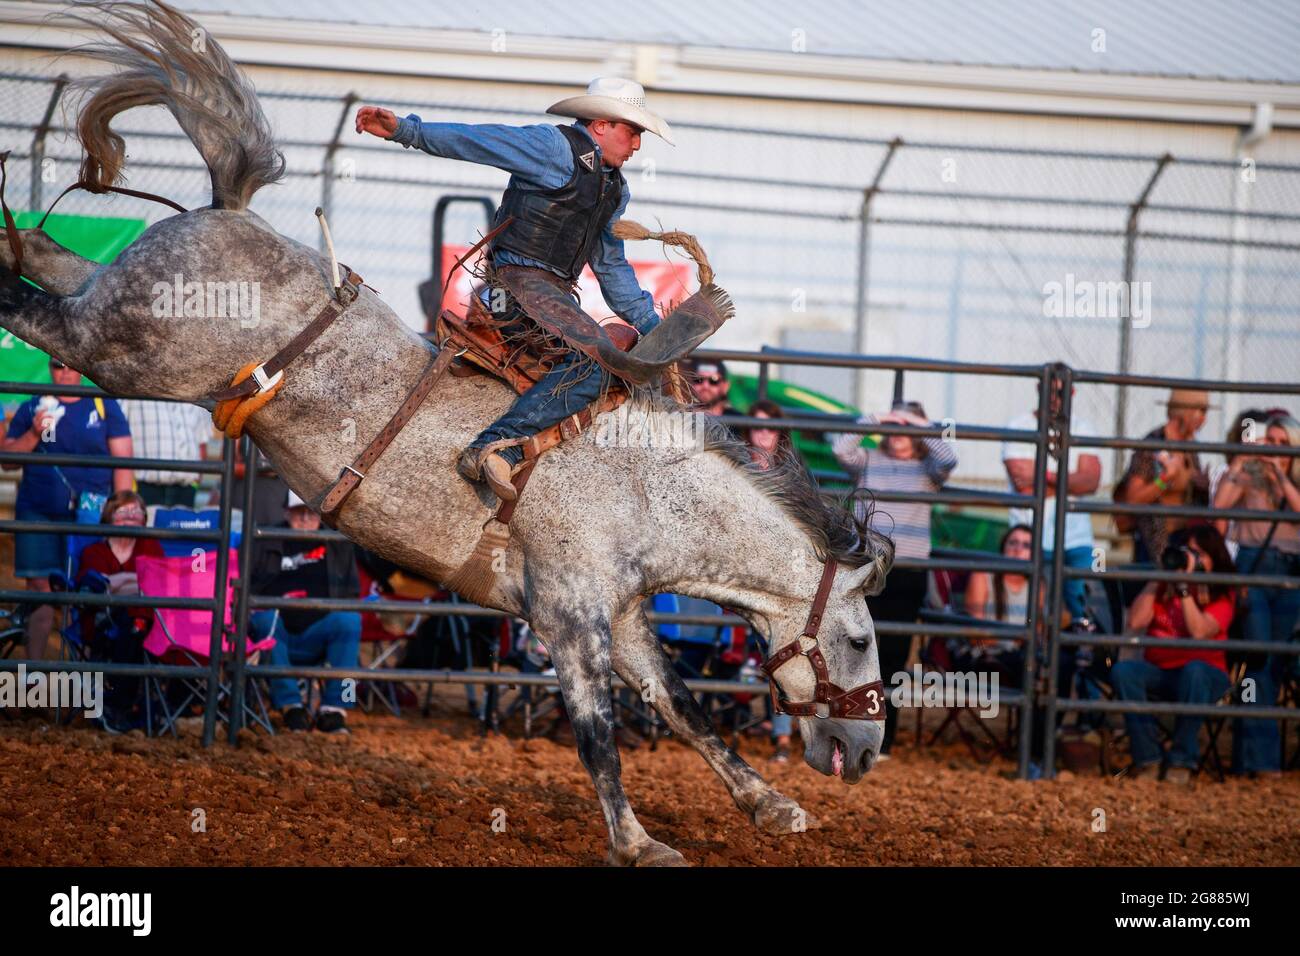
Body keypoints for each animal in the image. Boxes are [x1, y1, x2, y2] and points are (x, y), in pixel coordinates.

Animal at [0, 0, 894, 868]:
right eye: (857, 639)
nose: (866, 752)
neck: (646, 494)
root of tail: (228, 212)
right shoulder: (569, 616)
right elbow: (599, 737)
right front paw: (640, 842)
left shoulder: (625, 618)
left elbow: (681, 708)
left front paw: (771, 806)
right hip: (124, 351)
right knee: (29, 308)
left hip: (112, 305)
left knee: (49, 256)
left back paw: (24, 235)